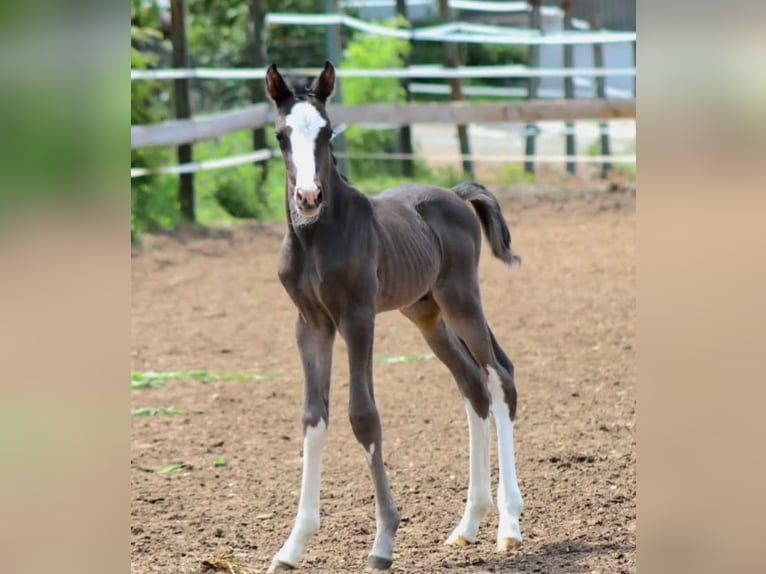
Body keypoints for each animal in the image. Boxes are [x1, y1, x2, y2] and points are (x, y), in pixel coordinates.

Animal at [268, 60, 524, 572]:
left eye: (326, 132)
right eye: (282, 135)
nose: (307, 198)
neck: (316, 238)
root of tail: (456, 194)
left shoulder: (357, 317)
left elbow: (363, 415)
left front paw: (383, 541)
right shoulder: (311, 324)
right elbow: (314, 418)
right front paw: (292, 546)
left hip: (461, 298)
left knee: (498, 377)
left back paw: (508, 525)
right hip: (426, 314)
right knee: (472, 385)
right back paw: (467, 526)